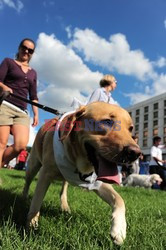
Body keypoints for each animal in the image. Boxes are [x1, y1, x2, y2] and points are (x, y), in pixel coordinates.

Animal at [22, 102, 141, 245]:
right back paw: (23, 198)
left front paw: (119, 229)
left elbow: (119, 200)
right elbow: (36, 203)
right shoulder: (45, 174)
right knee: (27, 182)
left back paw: (65, 206)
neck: (79, 163)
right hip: (33, 165)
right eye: (107, 121)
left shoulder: (98, 182)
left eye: (130, 129)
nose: (135, 153)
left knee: (63, 189)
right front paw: (30, 227)